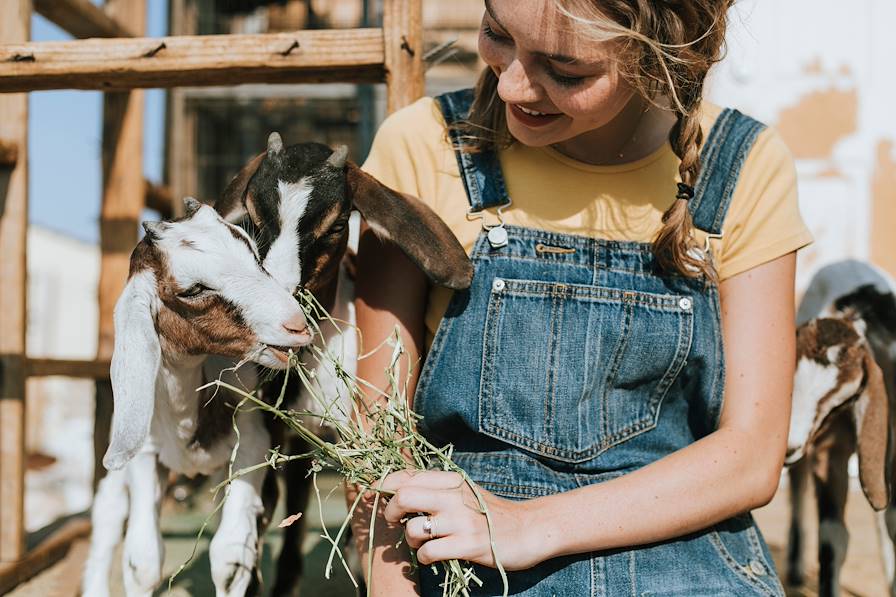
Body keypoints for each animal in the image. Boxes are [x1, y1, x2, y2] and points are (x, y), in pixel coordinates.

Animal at [83, 199, 316, 596]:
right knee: (108, 514)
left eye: (252, 252)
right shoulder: (144, 453)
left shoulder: (251, 444)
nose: (296, 325)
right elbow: (142, 559)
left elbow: (230, 557)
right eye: (193, 290)